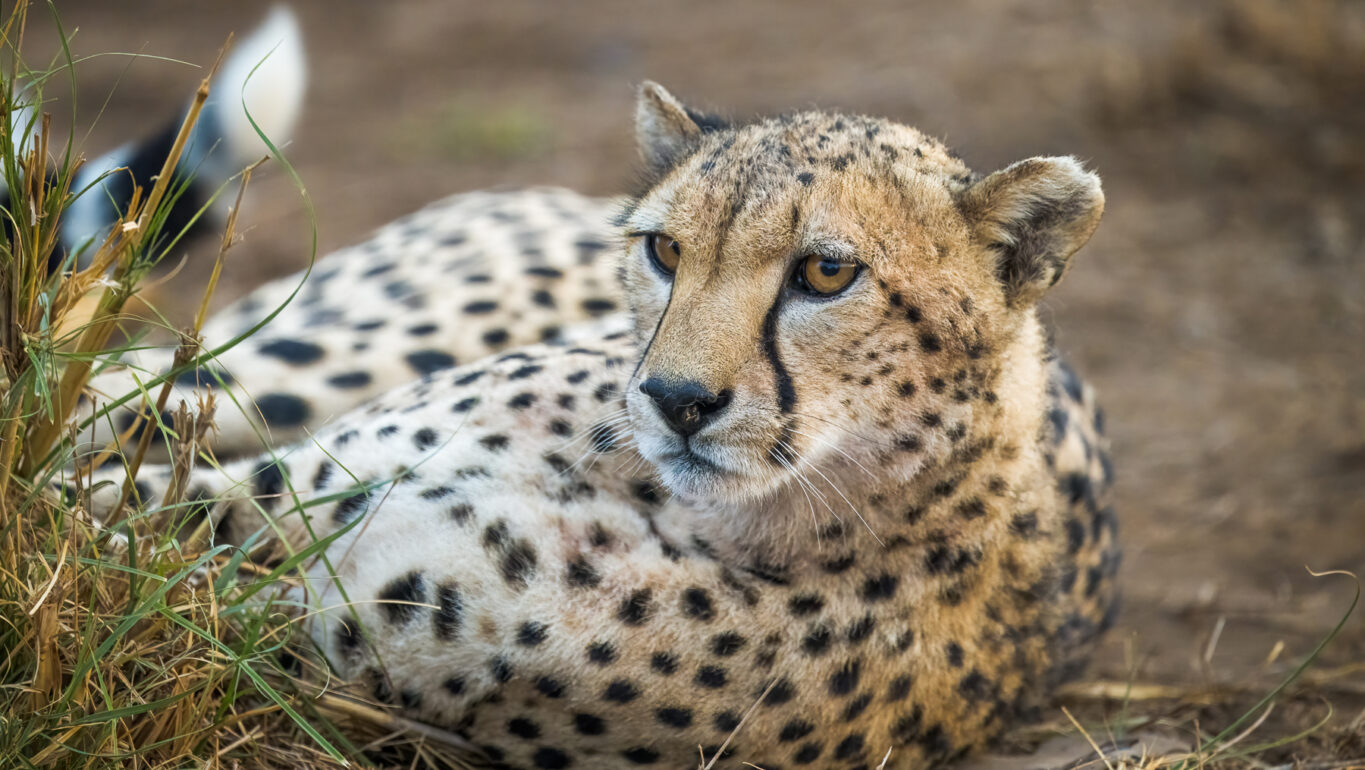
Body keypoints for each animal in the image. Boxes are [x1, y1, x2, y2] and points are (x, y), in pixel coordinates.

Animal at [82, 82, 1119, 770]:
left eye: (826, 272)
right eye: (663, 249)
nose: (676, 399)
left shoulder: (328, 616)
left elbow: (148, 565)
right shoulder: (302, 493)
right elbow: (106, 518)